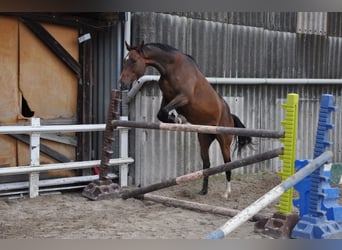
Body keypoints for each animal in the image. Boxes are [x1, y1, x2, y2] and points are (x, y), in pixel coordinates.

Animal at [119, 41, 251, 199]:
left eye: (133, 60)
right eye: (124, 60)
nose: (122, 84)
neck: (171, 67)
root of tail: (230, 115)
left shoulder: (183, 97)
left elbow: (164, 112)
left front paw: (178, 119)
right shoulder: (167, 97)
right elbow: (161, 114)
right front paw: (177, 119)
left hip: (224, 141)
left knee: (228, 164)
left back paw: (226, 192)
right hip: (204, 139)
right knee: (207, 164)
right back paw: (203, 191)